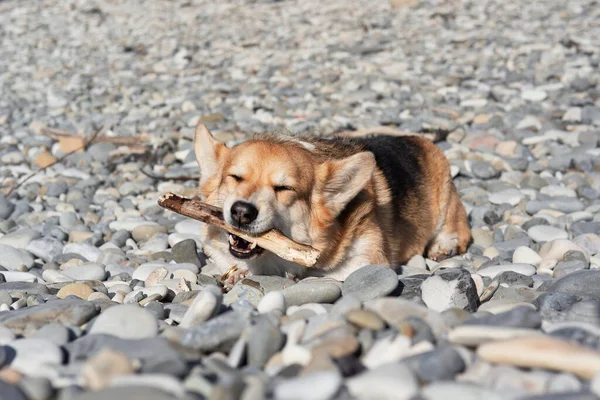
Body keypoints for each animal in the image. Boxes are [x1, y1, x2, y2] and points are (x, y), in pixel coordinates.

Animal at [195, 123, 472, 282]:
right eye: (235, 177)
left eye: (284, 189)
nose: (241, 212)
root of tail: (418, 138)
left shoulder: (368, 261)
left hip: (446, 200)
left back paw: (444, 246)